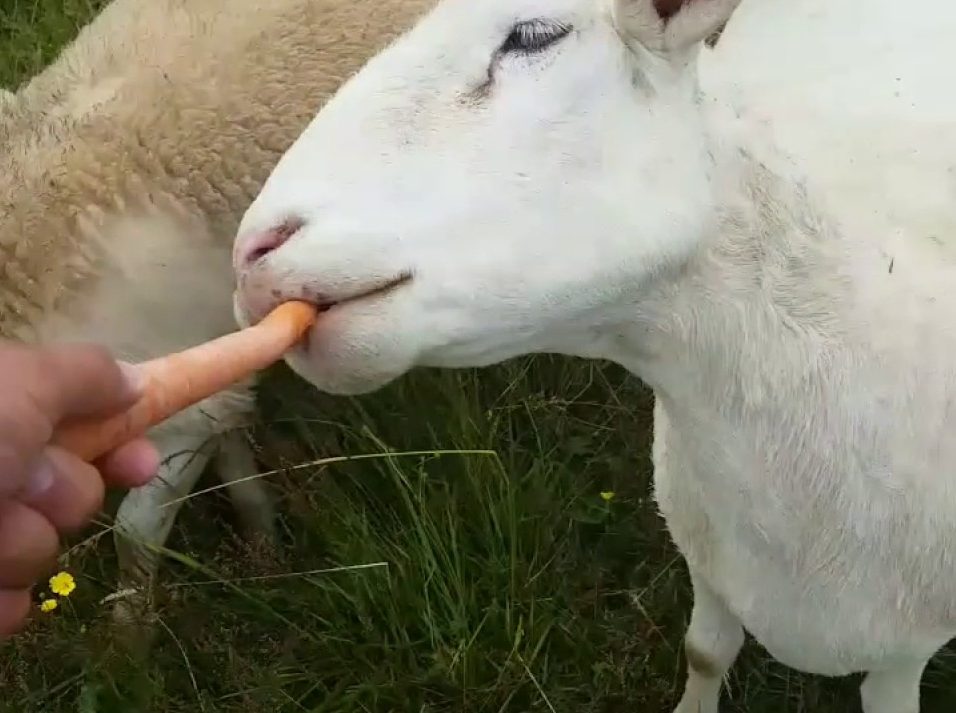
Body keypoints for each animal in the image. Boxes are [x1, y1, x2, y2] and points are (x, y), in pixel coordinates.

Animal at [1, 0, 433, 629]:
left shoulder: (174, 398)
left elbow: (134, 532)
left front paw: (130, 637)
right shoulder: (211, 360)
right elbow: (234, 454)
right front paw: (264, 545)